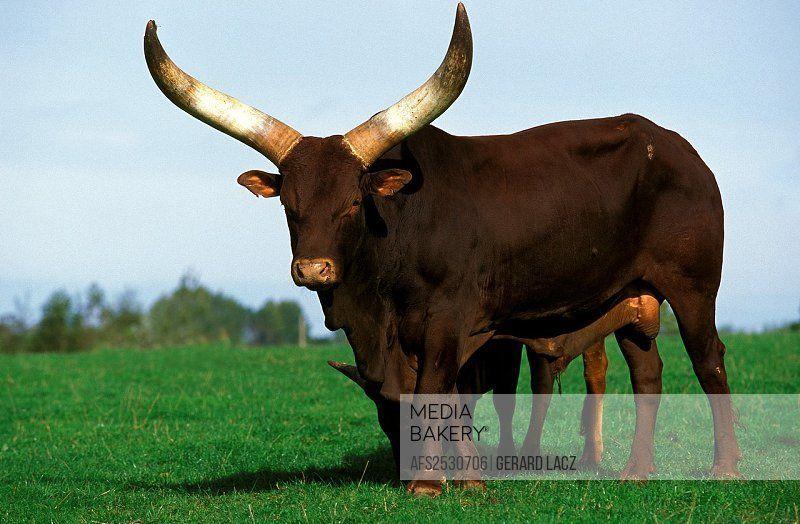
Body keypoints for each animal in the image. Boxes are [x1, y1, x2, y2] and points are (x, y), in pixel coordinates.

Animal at [145, 3, 744, 496]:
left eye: (353, 202)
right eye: (289, 205)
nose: (313, 269)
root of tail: (679, 149)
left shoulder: (449, 321)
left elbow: (437, 387)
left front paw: (430, 485)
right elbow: (434, 397)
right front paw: (461, 479)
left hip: (694, 286)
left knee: (708, 360)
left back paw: (726, 467)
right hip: (633, 299)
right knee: (648, 373)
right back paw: (637, 473)